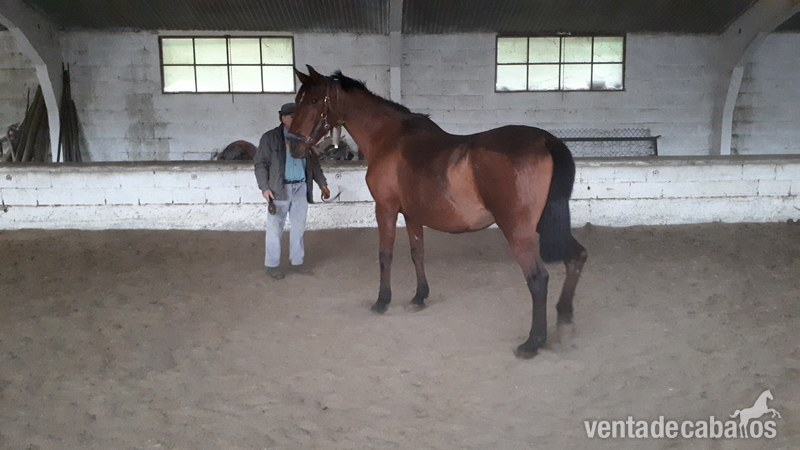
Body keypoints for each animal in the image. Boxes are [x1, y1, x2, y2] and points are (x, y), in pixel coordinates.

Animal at [287, 65, 587, 359]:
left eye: (313, 101)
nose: (294, 146)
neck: (389, 137)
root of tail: (546, 140)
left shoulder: (385, 208)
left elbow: (385, 255)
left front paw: (382, 301)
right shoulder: (411, 214)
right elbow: (417, 252)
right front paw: (419, 297)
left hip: (519, 232)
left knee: (538, 278)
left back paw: (533, 342)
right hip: (546, 226)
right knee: (577, 257)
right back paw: (565, 321)